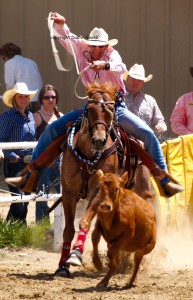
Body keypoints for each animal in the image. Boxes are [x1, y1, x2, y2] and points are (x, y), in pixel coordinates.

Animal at [54, 81, 155, 278]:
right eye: (90, 109)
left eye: (110, 111)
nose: (99, 140)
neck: (88, 155)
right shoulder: (68, 191)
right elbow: (68, 229)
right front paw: (62, 266)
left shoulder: (97, 191)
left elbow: (84, 221)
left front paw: (75, 255)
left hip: (140, 194)